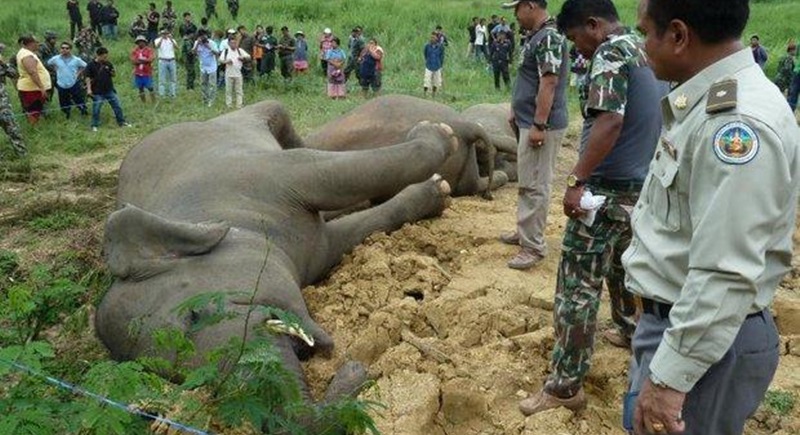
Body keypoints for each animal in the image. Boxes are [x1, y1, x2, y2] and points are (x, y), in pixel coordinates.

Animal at [94, 101, 456, 432]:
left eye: (194, 316)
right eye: (184, 378)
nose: (356, 368)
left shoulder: (268, 175)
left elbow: (337, 175)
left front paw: (439, 141)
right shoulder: (312, 251)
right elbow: (348, 232)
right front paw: (436, 189)